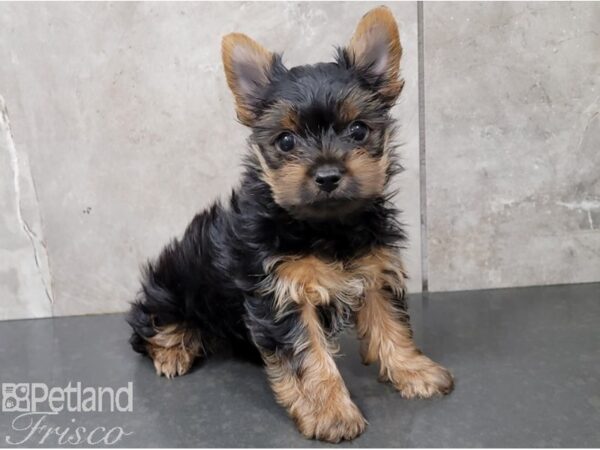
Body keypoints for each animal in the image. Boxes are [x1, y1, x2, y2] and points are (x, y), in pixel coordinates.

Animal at [127, 7, 454, 442]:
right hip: (170, 288)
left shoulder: (374, 268)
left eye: (358, 130)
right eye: (285, 141)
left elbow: (391, 323)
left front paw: (413, 370)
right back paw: (174, 351)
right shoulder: (283, 293)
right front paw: (330, 412)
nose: (328, 175)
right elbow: (309, 357)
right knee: (150, 326)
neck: (325, 227)